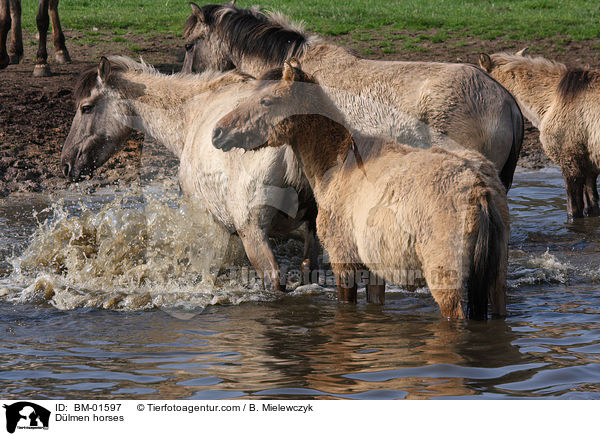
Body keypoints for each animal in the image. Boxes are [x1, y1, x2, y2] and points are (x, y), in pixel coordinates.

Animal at [209, 60, 508, 320]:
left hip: (446, 282)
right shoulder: (376, 270)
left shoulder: (344, 262)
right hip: (495, 280)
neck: (340, 165)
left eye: (266, 101)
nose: (218, 132)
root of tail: (479, 190)